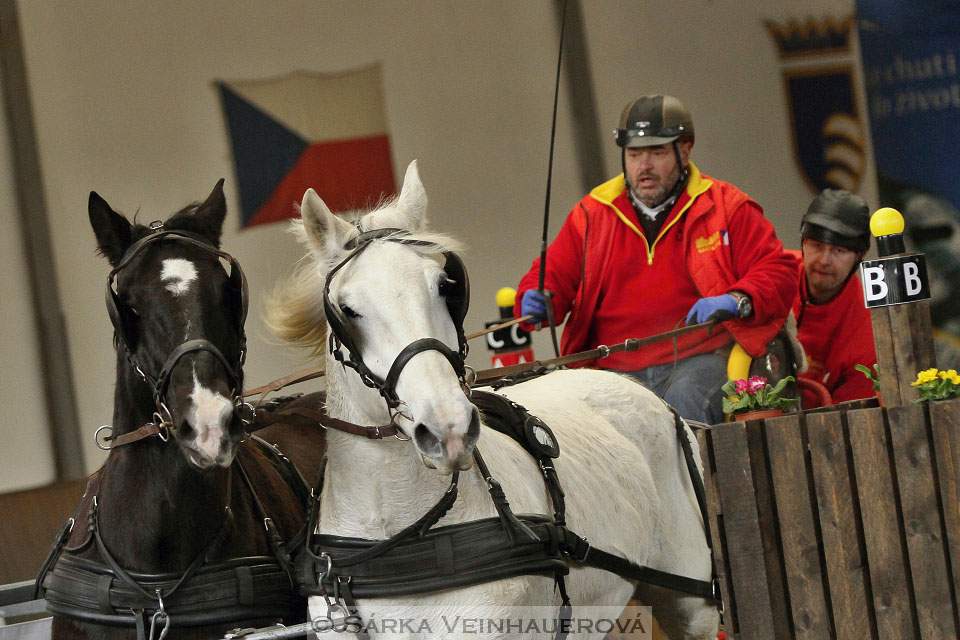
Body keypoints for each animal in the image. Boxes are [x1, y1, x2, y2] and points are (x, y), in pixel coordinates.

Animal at [266, 161, 716, 640]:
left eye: (445, 286)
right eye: (347, 310)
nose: (449, 429)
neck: (397, 536)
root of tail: (647, 392)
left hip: (691, 602)